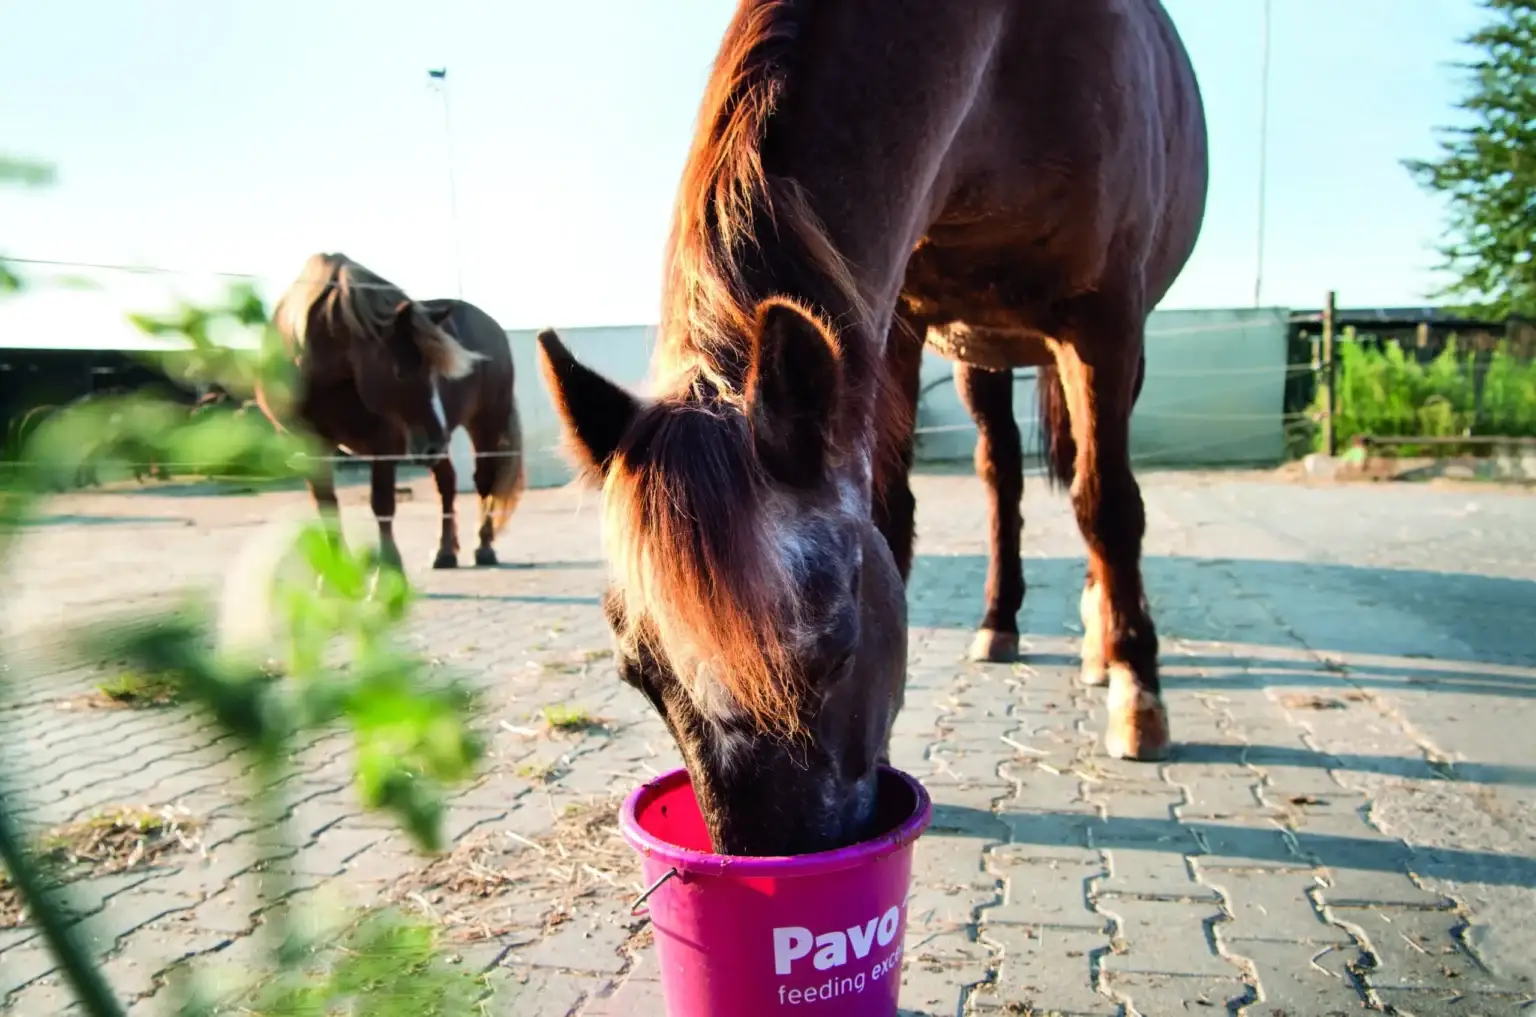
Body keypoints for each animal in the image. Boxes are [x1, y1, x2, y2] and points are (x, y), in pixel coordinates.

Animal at [262, 252, 526, 571]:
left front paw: (389, 570)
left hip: (482, 423)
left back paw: (484, 547)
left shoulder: (384, 443)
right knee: (447, 482)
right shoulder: (307, 447)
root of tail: (493, 326)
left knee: (485, 481)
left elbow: (383, 504)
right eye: (400, 372)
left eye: (435, 370)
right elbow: (326, 507)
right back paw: (445, 552)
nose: (433, 441)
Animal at [536, 0, 1208, 855]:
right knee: (1001, 478)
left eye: (838, 651)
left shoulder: (1106, 320)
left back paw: (1103, 645)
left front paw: (1138, 692)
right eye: (638, 675)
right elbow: (896, 511)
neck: (1013, 57)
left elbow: (1109, 506)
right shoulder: (897, 325)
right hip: (978, 352)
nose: (771, 863)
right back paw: (998, 623)